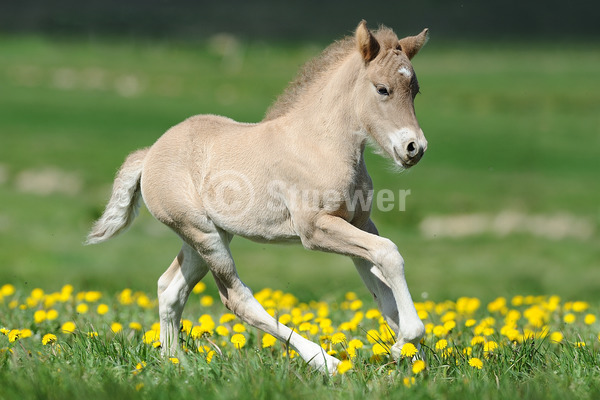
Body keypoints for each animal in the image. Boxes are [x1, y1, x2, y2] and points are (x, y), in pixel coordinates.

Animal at [86, 20, 428, 374]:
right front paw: (408, 340)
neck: (320, 144)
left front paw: (409, 355)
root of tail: (150, 153)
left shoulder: (359, 223)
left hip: (207, 236)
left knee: (170, 289)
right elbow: (389, 254)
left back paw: (175, 361)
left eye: (415, 90)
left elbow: (381, 285)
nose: (414, 148)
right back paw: (325, 362)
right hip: (204, 235)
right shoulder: (315, 229)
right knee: (236, 300)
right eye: (382, 89)